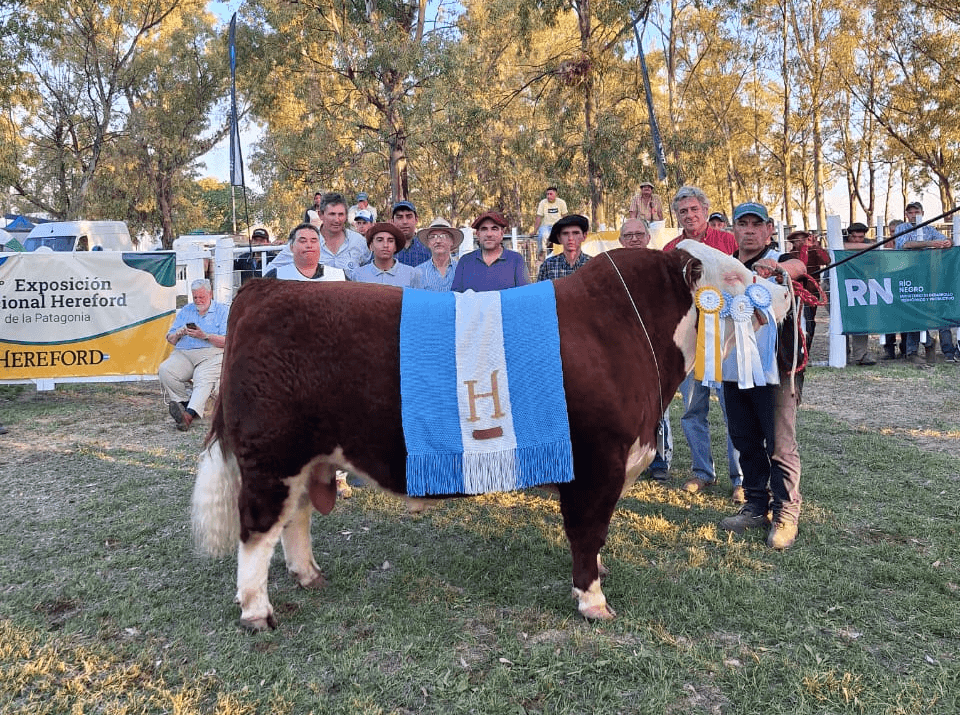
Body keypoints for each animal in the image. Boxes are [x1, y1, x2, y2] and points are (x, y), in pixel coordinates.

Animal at [193, 242, 788, 632]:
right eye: (738, 277)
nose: (781, 294)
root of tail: (264, 288)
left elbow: (597, 537)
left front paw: (598, 575)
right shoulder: (596, 464)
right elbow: (588, 533)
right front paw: (593, 600)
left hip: (307, 459)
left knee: (295, 519)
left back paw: (309, 576)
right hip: (271, 457)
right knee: (257, 531)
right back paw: (257, 612)